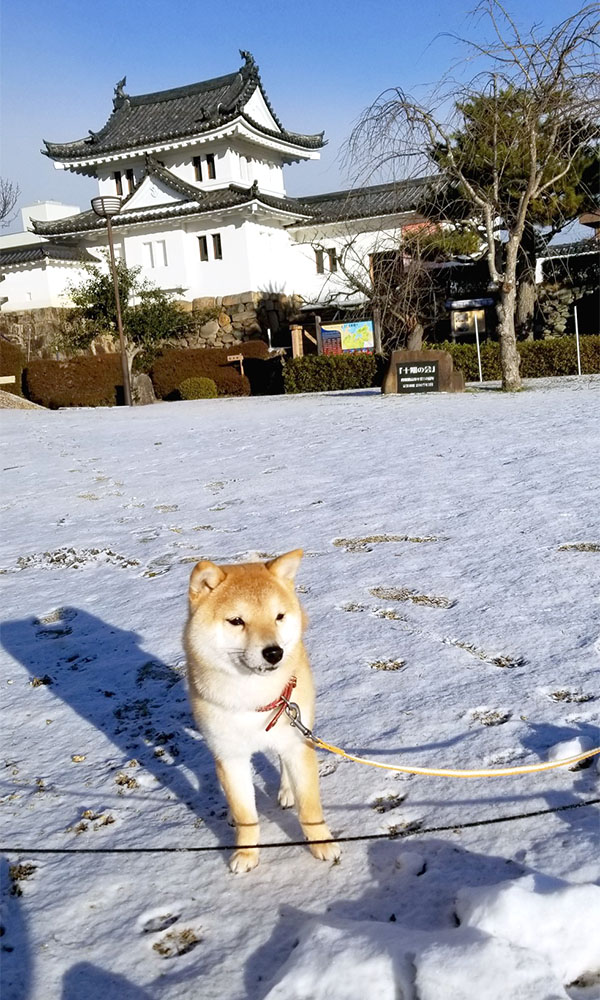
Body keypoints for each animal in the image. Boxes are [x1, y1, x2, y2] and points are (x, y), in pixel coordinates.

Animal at [185, 552, 340, 872]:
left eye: (278, 616)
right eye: (236, 621)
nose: (274, 652)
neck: (252, 699)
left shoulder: (298, 742)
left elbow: (310, 808)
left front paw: (321, 843)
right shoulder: (229, 756)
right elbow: (247, 815)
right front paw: (246, 854)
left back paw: (287, 791)